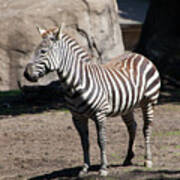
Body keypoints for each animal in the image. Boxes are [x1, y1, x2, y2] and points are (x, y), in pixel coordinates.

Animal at [23, 25, 160, 177]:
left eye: (43, 51)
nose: (26, 74)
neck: (74, 85)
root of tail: (139, 55)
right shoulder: (77, 117)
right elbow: (84, 142)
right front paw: (85, 168)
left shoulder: (99, 114)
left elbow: (101, 140)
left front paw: (103, 168)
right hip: (127, 106)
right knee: (132, 127)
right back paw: (128, 158)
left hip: (149, 102)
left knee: (146, 128)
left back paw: (147, 160)